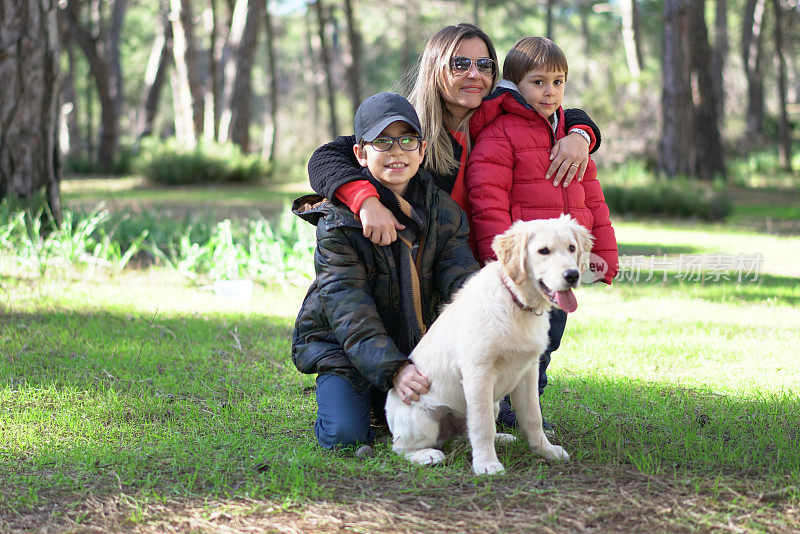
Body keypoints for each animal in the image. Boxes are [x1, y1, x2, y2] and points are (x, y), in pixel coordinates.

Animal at [388, 216, 592, 476]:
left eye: (572, 248)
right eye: (543, 251)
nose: (572, 275)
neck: (516, 303)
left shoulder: (528, 371)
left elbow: (532, 416)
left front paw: (545, 450)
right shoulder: (479, 374)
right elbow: (482, 425)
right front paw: (487, 464)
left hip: (493, 404)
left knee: (467, 433)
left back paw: (502, 438)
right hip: (422, 419)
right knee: (400, 448)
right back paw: (427, 455)